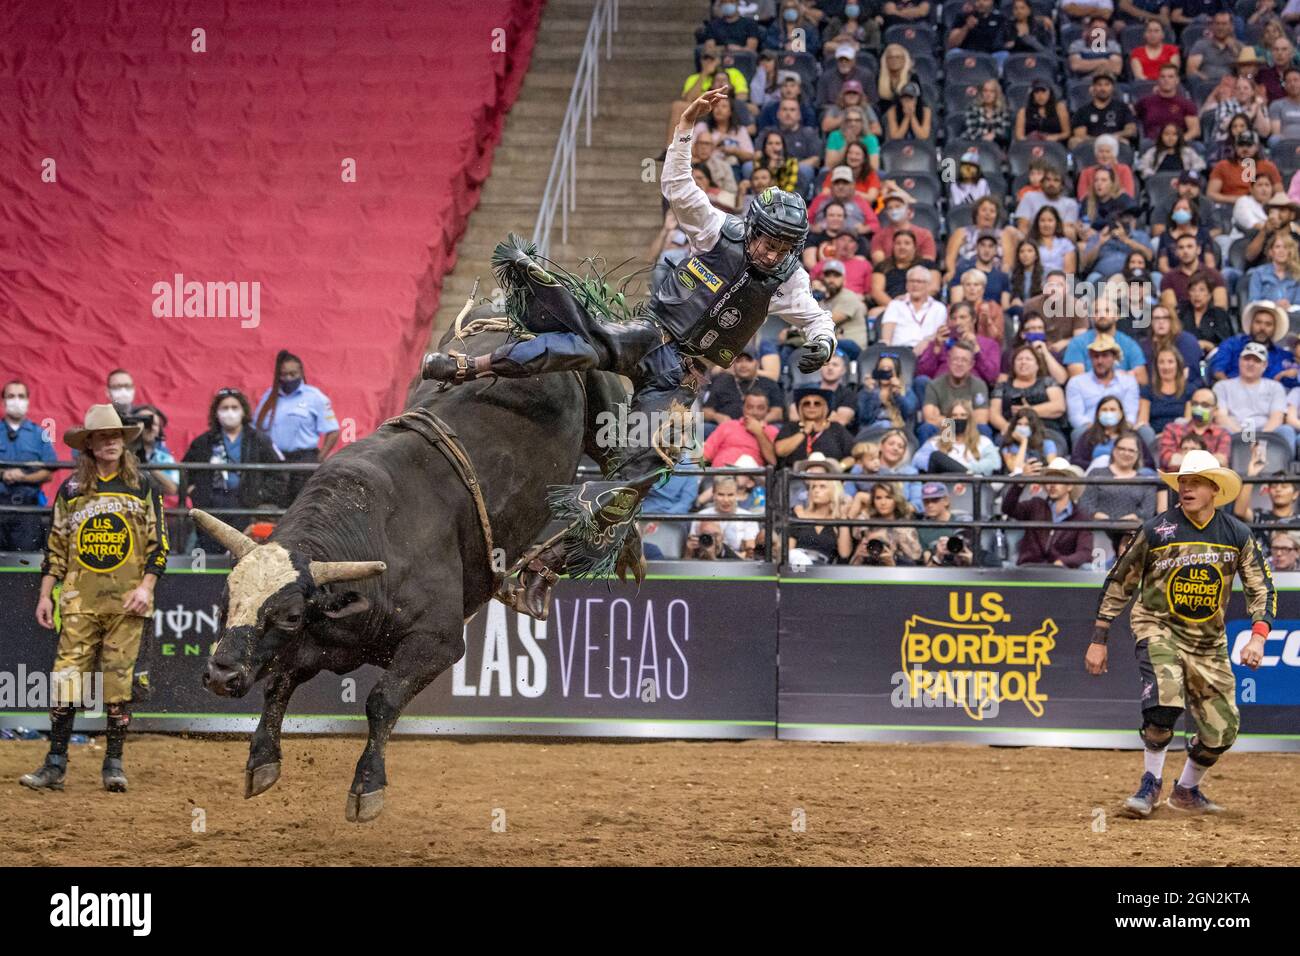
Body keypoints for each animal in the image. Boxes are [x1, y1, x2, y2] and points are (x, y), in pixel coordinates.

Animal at [195, 310, 637, 827]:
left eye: (288, 615)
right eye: (225, 601)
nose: (220, 674)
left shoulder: (438, 641)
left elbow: (381, 701)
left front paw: (367, 787)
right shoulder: (322, 640)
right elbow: (281, 680)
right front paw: (262, 760)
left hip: (606, 404)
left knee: (625, 460)